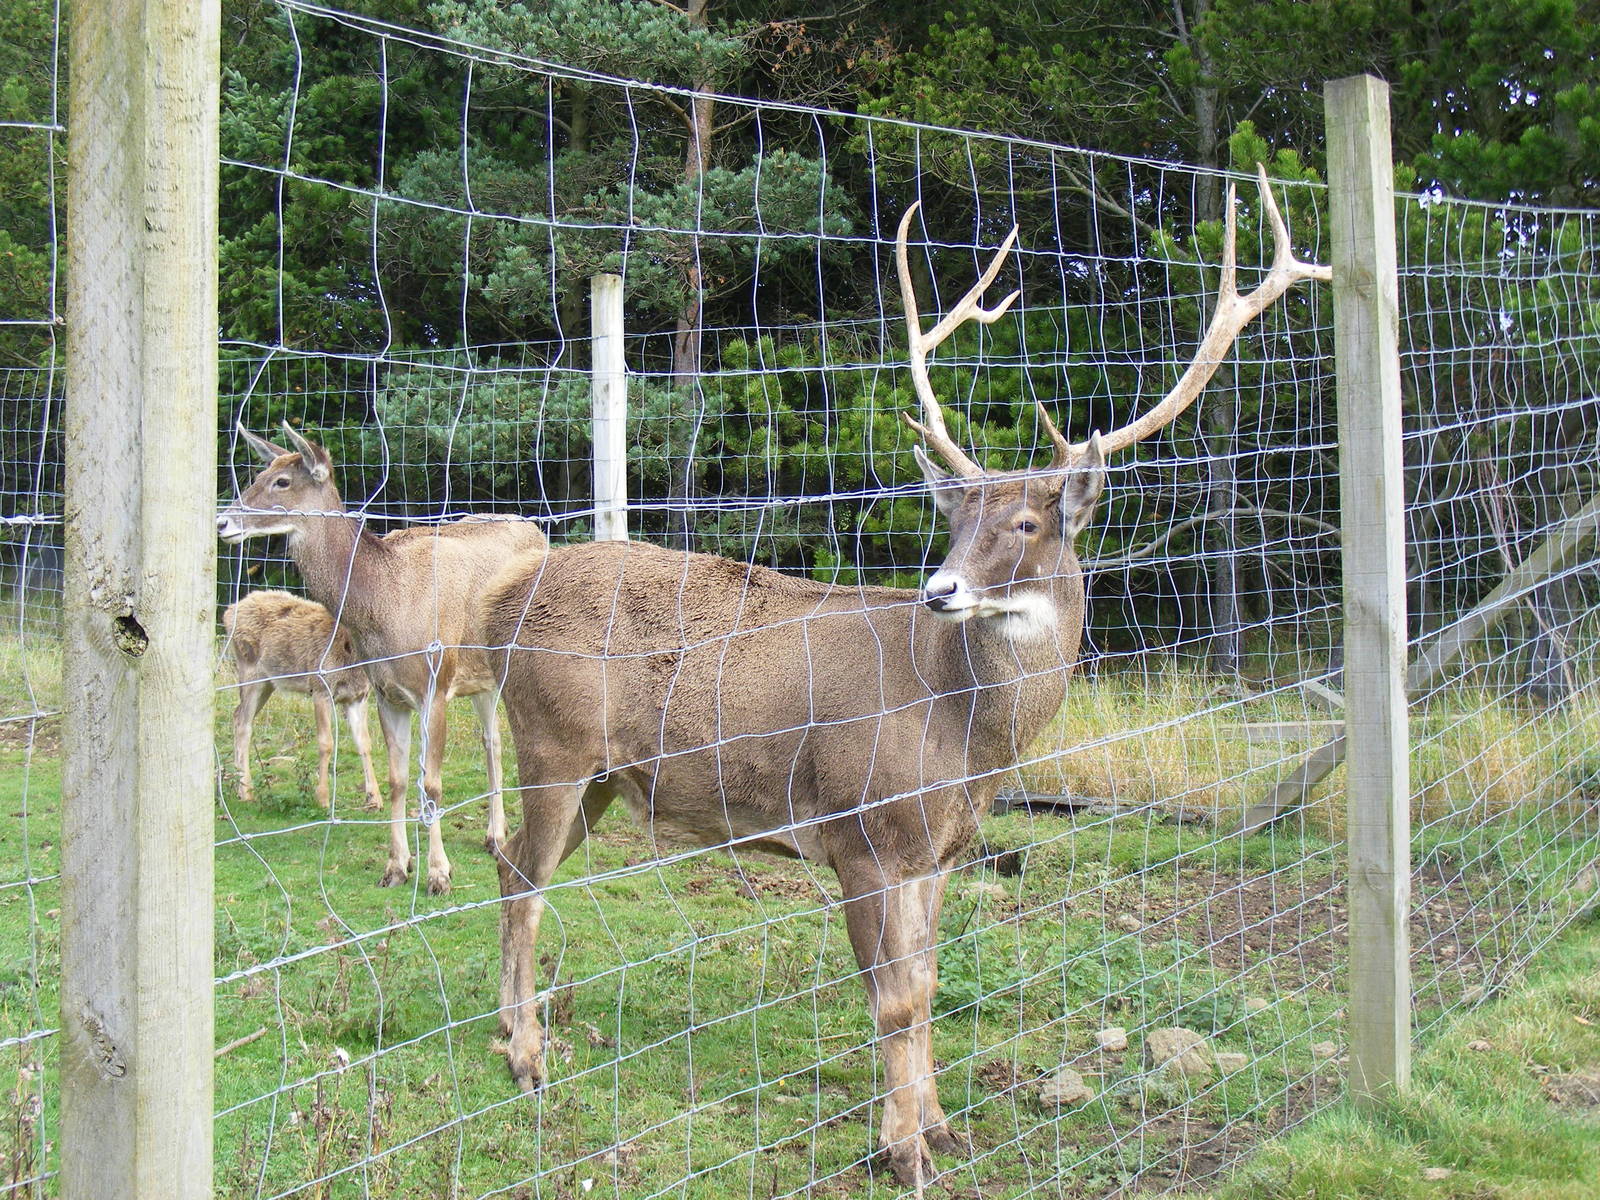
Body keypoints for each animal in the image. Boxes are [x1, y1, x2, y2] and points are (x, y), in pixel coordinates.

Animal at [223, 589, 383, 813]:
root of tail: (228, 612)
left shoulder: (358, 696)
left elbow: (364, 743)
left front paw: (375, 798)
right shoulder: (320, 688)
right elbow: (326, 743)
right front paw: (323, 798)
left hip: (268, 682)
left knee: (237, 714)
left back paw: (240, 787)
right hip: (250, 670)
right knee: (243, 723)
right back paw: (246, 791)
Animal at [479, 167, 1328, 1188]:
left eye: (1028, 525)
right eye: (956, 519)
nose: (940, 590)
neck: (963, 735)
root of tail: (502, 602)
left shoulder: (938, 851)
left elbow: (925, 988)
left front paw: (943, 1130)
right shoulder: (863, 833)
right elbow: (889, 1000)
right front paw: (901, 1153)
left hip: (603, 777)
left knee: (512, 864)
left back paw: (513, 1039)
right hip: (553, 744)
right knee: (522, 875)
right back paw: (528, 1057)